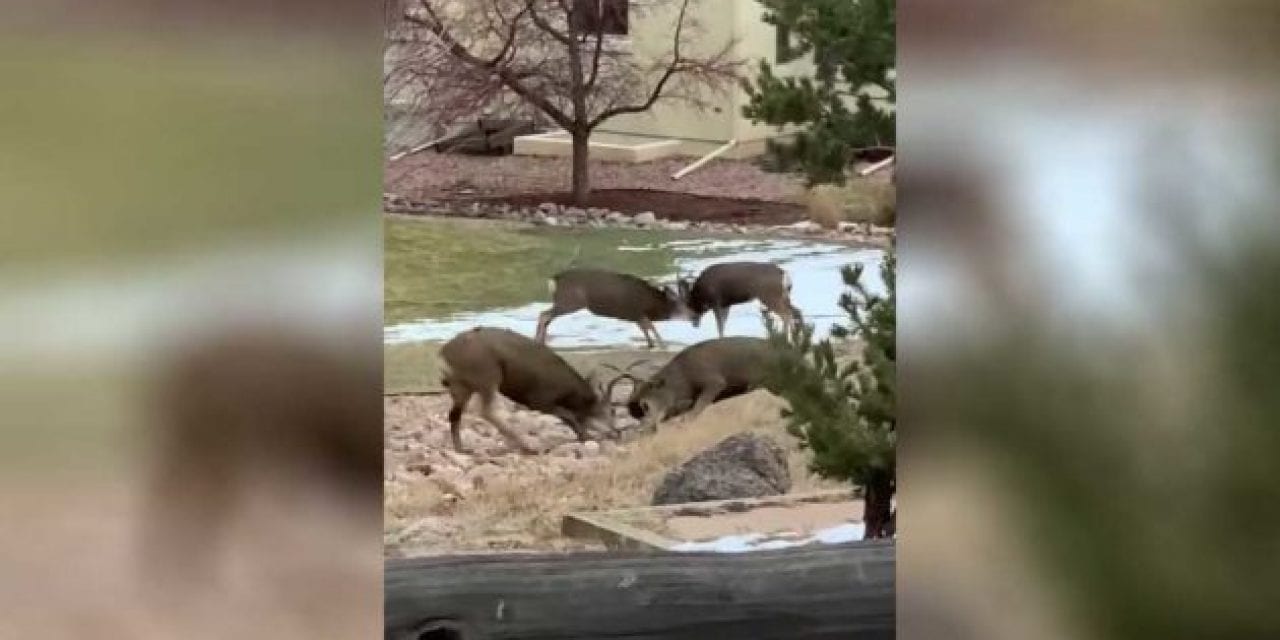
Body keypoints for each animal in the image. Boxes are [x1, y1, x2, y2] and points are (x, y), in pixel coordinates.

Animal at [442, 327, 632, 453]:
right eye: (613, 410)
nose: (617, 433)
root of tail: (445, 352)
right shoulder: (539, 400)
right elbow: (568, 415)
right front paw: (586, 436)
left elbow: (570, 417)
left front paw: (583, 435)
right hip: (488, 376)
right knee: (486, 411)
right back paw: (528, 446)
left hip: (461, 385)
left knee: (455, 414)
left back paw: (461, 448)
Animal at [535, 266, 696, 350]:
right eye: (683, 307)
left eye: (689, 304)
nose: (695, 317)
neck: (652, 304)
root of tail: (554, 279)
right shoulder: (637, 311)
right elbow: (650, 326)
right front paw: (663, 345)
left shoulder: (635, 315)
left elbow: (644, 328)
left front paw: (651, 344)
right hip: (570, 301)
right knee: (544, 314)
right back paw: (539, 341)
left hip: (565, 302)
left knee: (546, 317)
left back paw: (541, 342)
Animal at [609, 335, 778, 435]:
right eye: (634, 414)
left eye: (645, 405)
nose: (644, 429)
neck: (682, 377)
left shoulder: (714, 381)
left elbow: (694, 412)